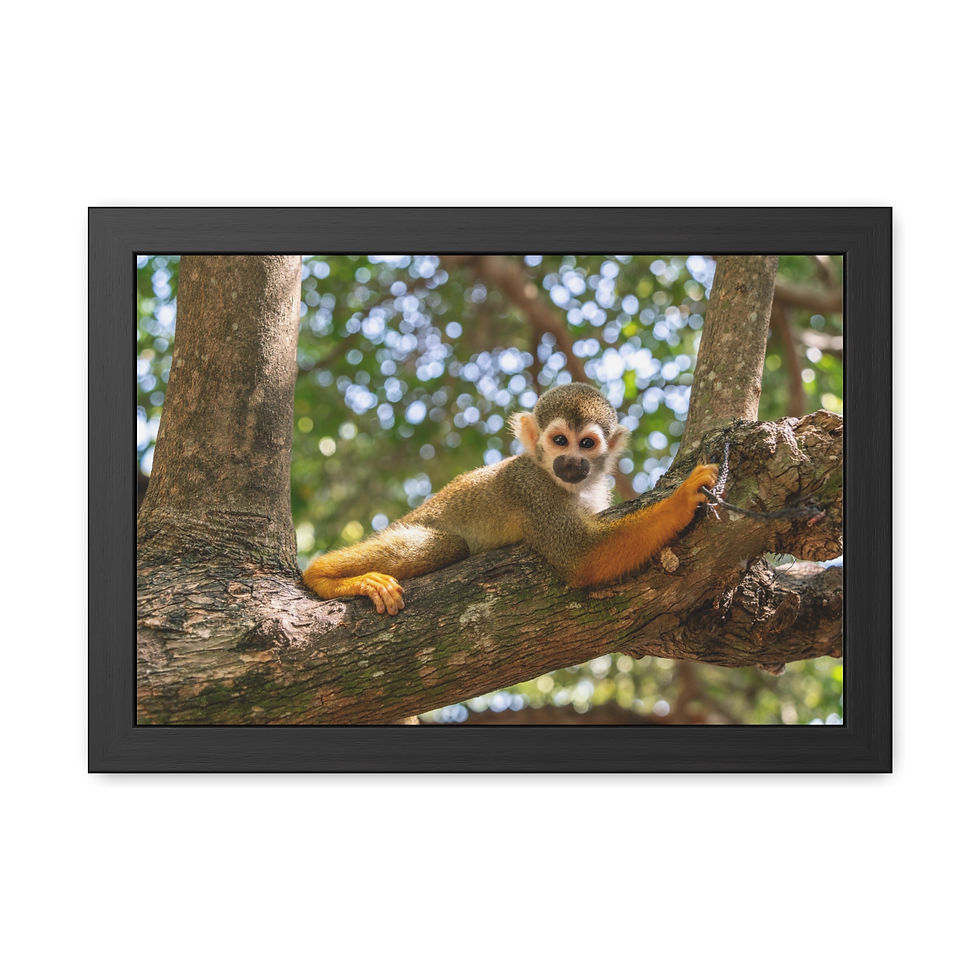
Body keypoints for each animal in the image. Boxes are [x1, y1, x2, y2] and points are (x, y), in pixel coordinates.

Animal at [302, 383, 718, 614]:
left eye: (586, 444)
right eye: (559, 441)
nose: (571, 462)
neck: (556, 477)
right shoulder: (531, 489)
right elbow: (582, 558)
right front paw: (683, 498)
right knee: (446, 545)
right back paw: (322, 576)